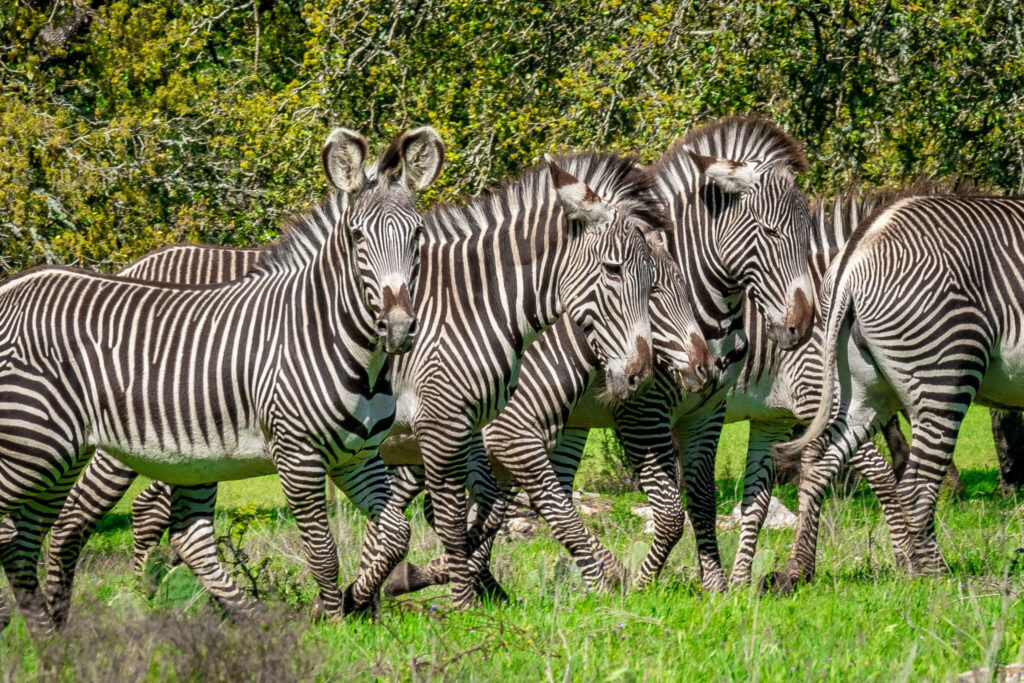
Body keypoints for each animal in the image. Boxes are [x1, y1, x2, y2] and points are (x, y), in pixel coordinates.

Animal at [0, 126, 444, 635]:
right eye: (357, 236)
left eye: (417, 234)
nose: (399, 328)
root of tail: (11, 287)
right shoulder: (298, 456)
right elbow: (323, 553)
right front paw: (331, 623)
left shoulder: (358, 457)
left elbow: (394, 535)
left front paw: (354, 602)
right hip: (33, 446)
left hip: (66, 453)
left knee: (40, 537)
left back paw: (52, 633)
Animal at [42, 151, 666, 612]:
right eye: (614, 271)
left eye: (654, 277)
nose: (640, 373)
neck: (476, 304)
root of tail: (131, 267)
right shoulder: (446, 424)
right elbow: (459, 513)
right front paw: (461, 597)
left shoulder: (459, 429)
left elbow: (469, 511)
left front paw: (388, 588)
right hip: (124, 441)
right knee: (88, 512)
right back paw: (121, 598)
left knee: (161, 518)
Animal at [770, 192, 1024, 595]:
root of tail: (858, 251)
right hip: (944, 372)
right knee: (915, 486)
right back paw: (939, 581)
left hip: (864, 391)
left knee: (820, 463)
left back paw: (795, 571)